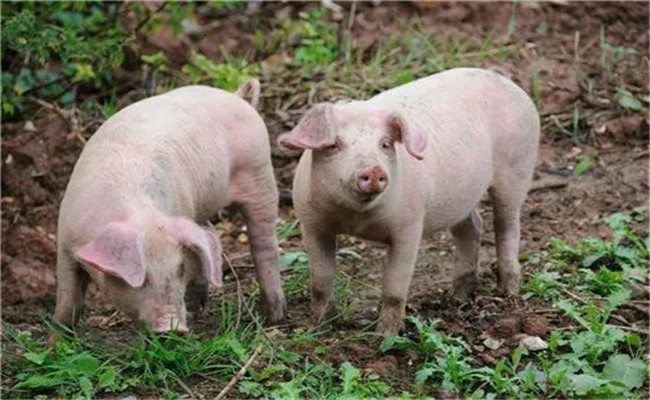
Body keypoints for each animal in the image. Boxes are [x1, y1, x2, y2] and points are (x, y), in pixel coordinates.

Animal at [56, 79, 286, 332]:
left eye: (179, 269)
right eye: (142, 278)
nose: (173, 327)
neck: (141, 213)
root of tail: (238, 97)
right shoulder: (65, 242)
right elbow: (68, 303)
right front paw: (56, 338)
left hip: (260, 174)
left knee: (264, 245)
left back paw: (273, 316)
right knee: (209, 234)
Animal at [278, 68, 536, 334]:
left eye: (385, 144)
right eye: (333, 145)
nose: (373, 170)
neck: (357, 220)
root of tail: (506, 82)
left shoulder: (409, 226)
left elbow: (394, 289)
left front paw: (386, 335)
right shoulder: (312, 224)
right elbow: (320, 282)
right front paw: (319, 328)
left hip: (518, 168)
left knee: (507, 226)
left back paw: (509, 292)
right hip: (463, 196)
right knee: (472, 226)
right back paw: (458, 298)